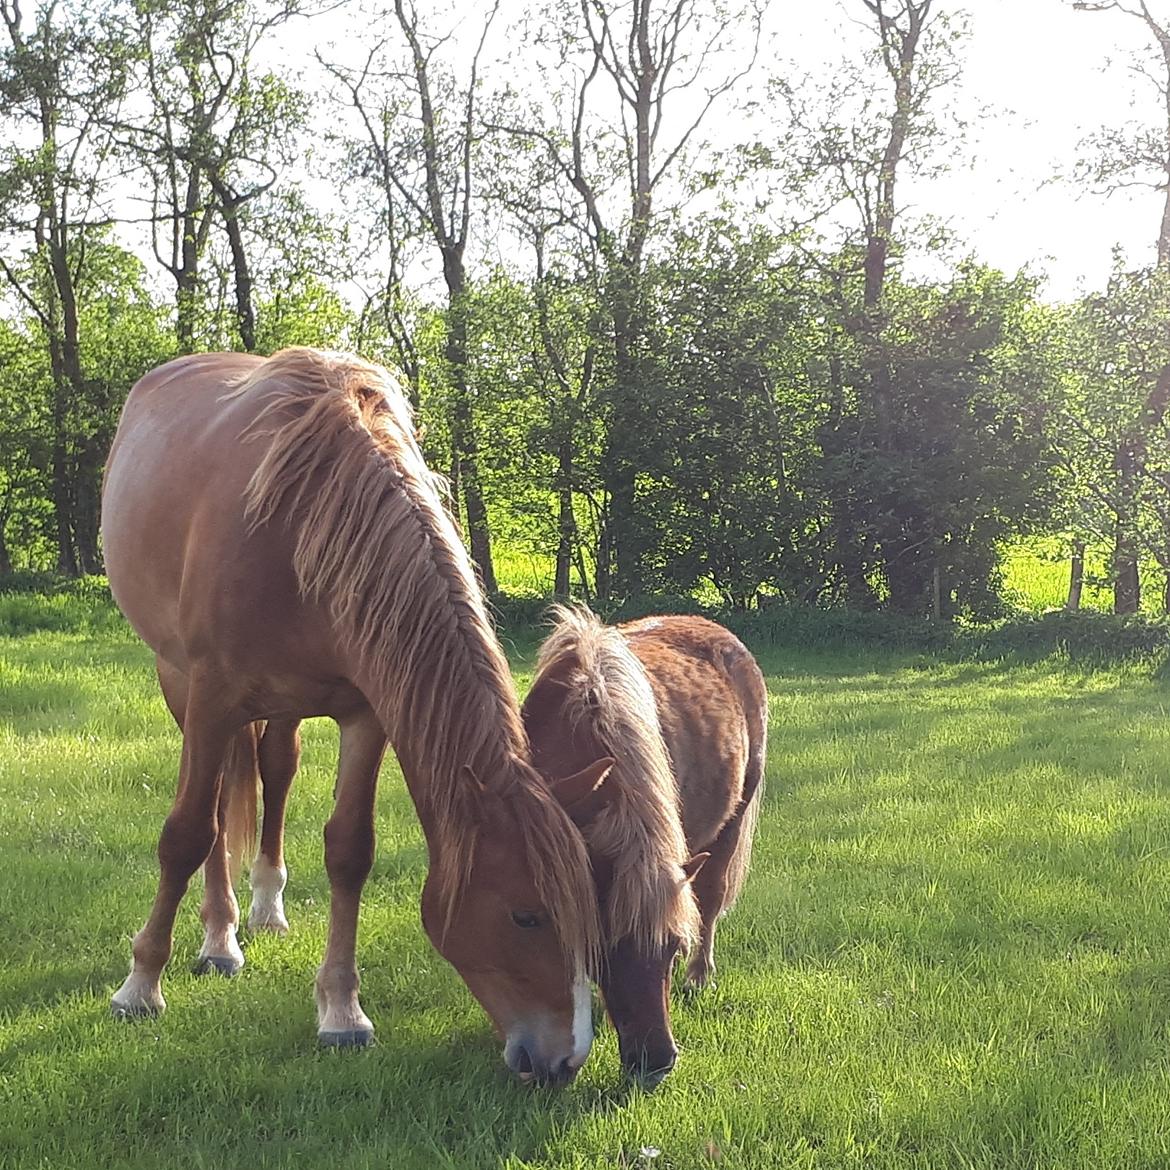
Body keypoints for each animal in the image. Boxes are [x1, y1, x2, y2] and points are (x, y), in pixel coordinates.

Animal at [102, 346, 613, 1085]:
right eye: (526, 917)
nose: (566, 1059)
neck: (301, 525)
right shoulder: (212, 699)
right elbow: (186, 833)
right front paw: (140, 985)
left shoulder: (369, 713)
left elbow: (349, 851)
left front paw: (341, 1011)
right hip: (181, 687)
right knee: (215, 806)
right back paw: (220, 936)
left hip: (280, 708)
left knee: (275, 770)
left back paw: (265, 907)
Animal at [521, 608, 767, 1081]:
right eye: (602, 957)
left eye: (672, 948)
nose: (657, 1062)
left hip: (734, 817)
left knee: (710, 900)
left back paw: (700, 977)